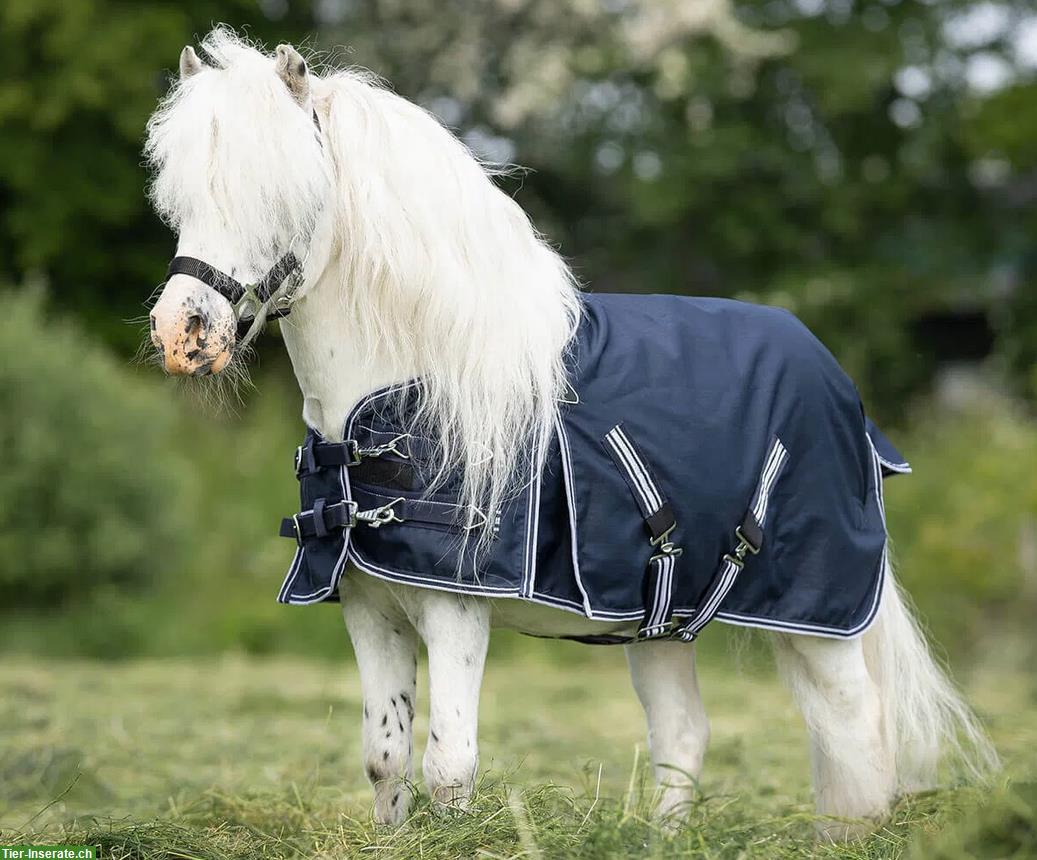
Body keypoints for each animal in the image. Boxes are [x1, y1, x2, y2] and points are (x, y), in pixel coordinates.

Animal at [145, 29, 996, 839]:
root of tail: (841, 389)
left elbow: (450, 763)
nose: (183, 332)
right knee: (684, 735)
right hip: (663, 623)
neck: (422, 383)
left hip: (823, 622)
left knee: (854, 733)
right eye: (179, 198)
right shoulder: (367, 605)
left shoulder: (456, 607)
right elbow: (385, 759)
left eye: (282, 192)